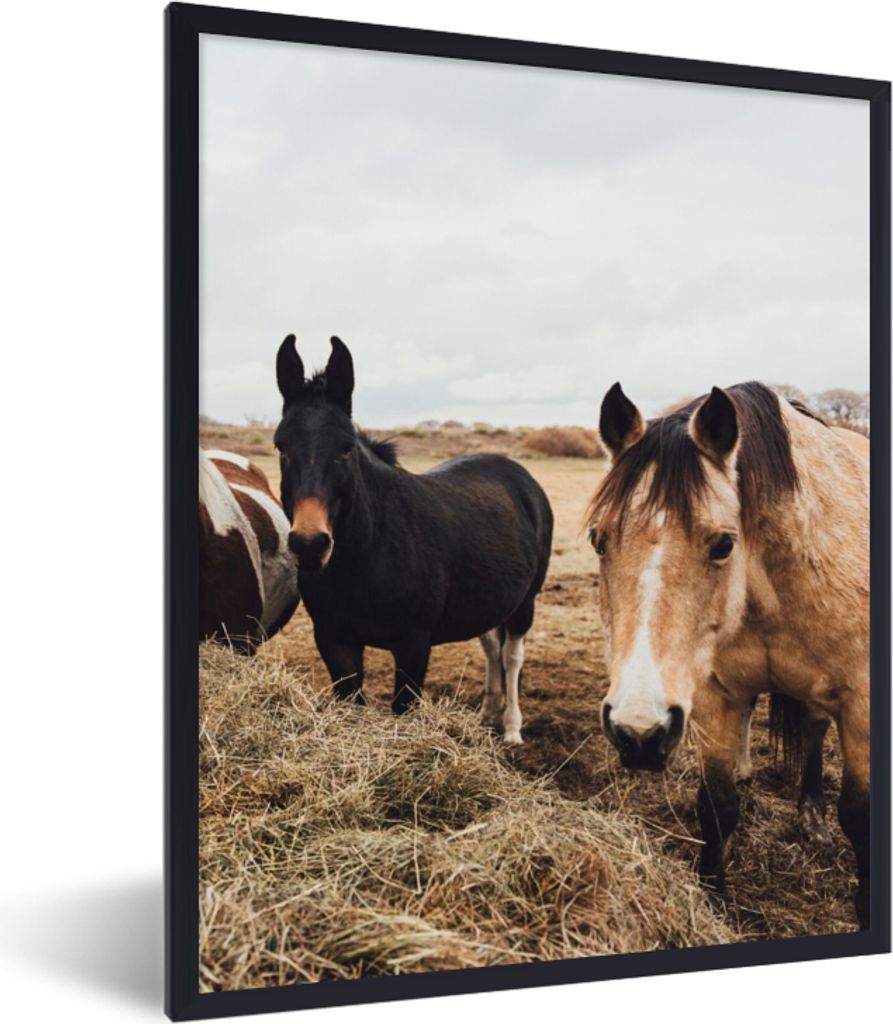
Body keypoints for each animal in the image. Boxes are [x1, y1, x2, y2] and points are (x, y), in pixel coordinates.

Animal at [273, 334, 553, 742]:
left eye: (346, 447)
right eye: (281, 446)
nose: (310, 545)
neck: (368, 553)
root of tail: (521, 476)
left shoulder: (413, 644)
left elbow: (404, 707)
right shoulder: (334, 639)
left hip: (525, 602)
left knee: (512, 656)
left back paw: (512, 729)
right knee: (491, 649)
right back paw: (486, 715)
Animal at [587, 381, 870, 926]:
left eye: (722, 544)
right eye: (598, 539)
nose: (637, 733)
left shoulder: (862, 706)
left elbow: (860, 817)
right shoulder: (714, 696)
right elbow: (717, 805)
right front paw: (713, 901)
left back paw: (812, 818)